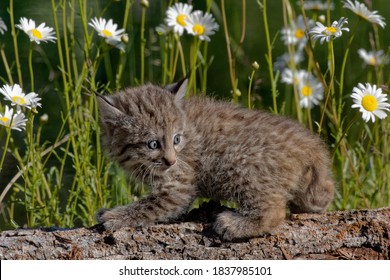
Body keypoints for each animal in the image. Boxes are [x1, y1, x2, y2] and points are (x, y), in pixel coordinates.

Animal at [96, 80, 334, 242]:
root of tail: (312, 144)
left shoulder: (178, 187)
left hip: (239, 163)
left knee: (275, 210)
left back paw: (234, 224)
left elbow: (149, 205)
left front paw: (114, 215)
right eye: (153, 144)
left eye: (176, 139)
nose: (171, 161)